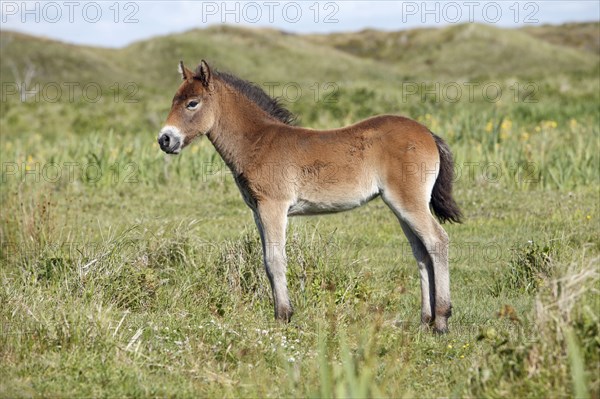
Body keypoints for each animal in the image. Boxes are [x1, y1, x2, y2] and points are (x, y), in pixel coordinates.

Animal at [157, 60, 462, 334]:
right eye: (174, 100)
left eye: (192, 103)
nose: (164, 140)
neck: (258, 142)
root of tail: (428, 133)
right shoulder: (257, 211)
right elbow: (267, 261)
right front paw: (281, 313)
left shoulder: (273, 207)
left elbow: (275, 260)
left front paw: (283, 316)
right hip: (400, 206)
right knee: (421, 251)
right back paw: (425, 322)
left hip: (408, 202)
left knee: (437, 241)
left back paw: (441, 322)